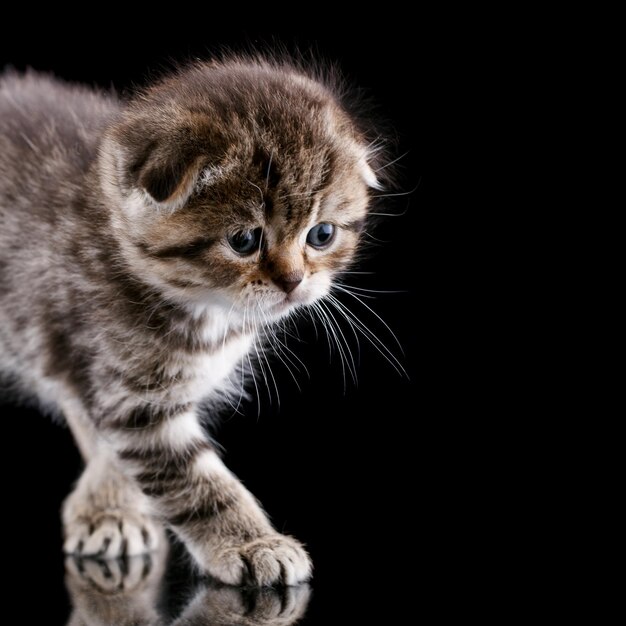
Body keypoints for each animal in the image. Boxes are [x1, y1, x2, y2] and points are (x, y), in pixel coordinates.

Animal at [0, 54, 380, 584]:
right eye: (244, 240)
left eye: (321, 234)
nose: (293, 281)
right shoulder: (131, 397)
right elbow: (193, 480)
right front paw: (252, 543)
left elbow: (103, 431)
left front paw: (110, 504)